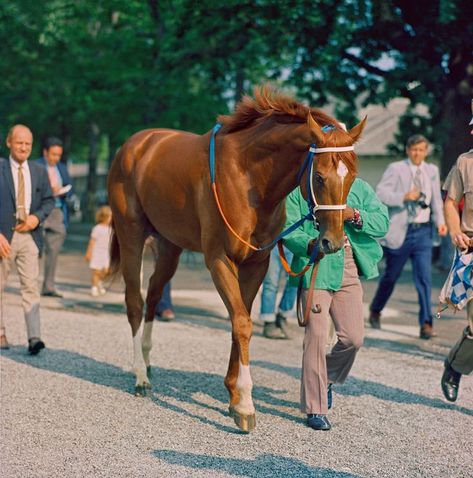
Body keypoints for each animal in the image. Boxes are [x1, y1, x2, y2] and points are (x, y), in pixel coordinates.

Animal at [107, 87, 366, 434]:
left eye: (351, 177)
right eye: (320, 178)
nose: (332, 242)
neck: (248, 177)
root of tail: (135, 145)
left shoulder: (255, 263)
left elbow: (238, 320)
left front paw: (232, 394)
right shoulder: (220, 259)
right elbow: (242, 322)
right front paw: (244, 404)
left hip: (170, 246)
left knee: (154, 295)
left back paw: (147, 362)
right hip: (131, 235)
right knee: (135, 302)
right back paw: (139, 377)